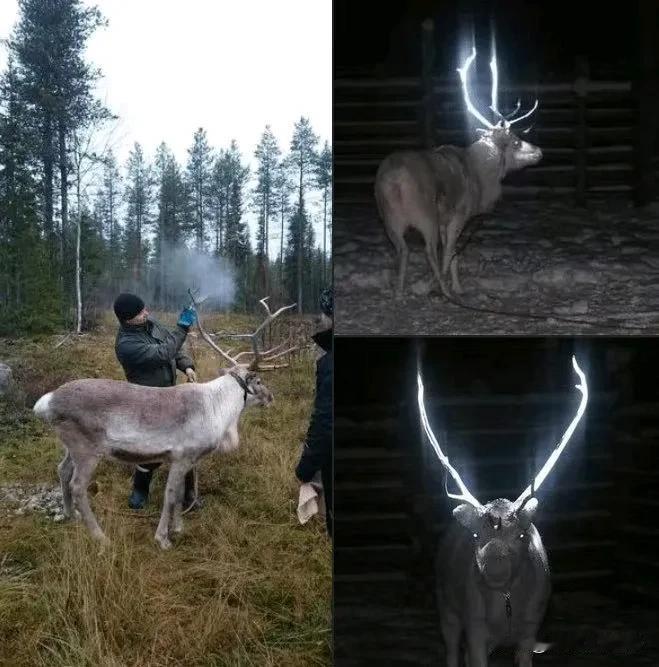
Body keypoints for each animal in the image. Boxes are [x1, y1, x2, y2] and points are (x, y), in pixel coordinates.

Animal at [32, 297, 296, 550]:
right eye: (259, 381)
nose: (271, 398)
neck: (219, 409)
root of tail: (47, 402)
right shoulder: (182, 455)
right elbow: (170, 496)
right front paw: (163, 538)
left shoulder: (188, 459)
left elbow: (179, 496)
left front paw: (178, 527)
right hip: (87, 448)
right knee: (77, 486)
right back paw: (100, 537)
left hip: (70, 445)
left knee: (62, 469)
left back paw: (70, 515)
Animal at [375, 47, 543, 298]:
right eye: (515, 142)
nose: (539, 151)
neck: (481, 180)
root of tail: (394, 181)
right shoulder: (458, 215)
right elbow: (450, 252)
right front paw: (443, 286)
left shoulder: (446, 221)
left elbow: (453, 255)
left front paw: (459, 286)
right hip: (425, 214)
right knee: (429, 251)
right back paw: (439, 290)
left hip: (389, 218)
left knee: (403, 250)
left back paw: (399, 294)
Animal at [417, 355, 588, 666]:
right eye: (475, 536)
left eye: (521, 535)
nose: (494, 566)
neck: (507, 608)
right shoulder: (474, 626)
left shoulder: (531, 627)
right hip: (445, 605)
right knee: (452, 650)